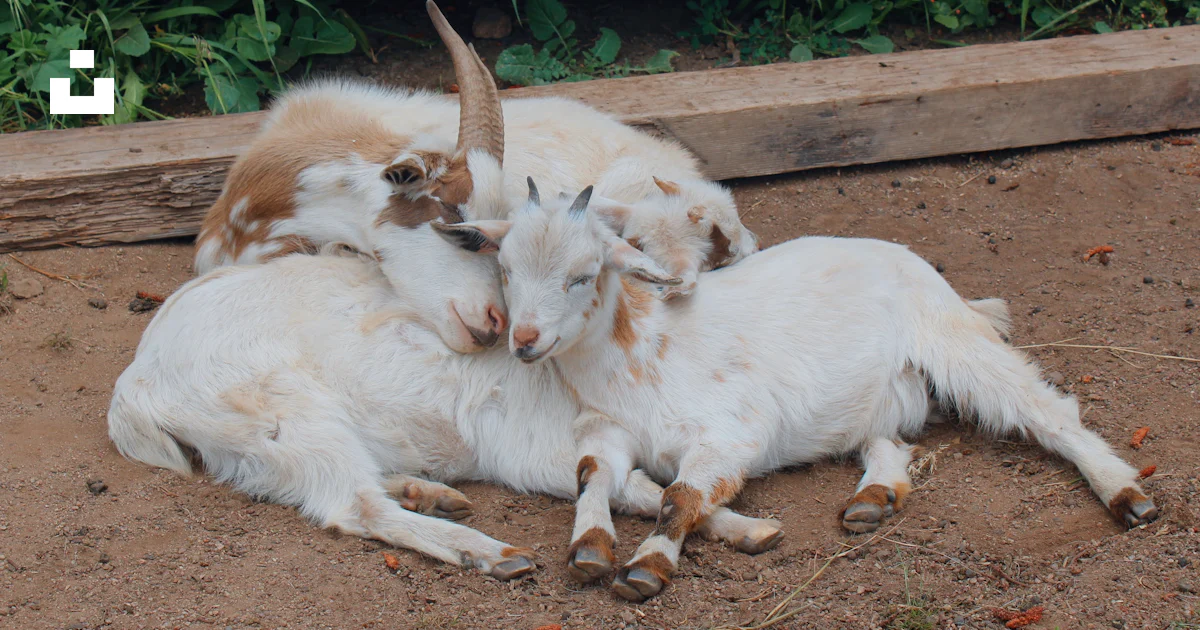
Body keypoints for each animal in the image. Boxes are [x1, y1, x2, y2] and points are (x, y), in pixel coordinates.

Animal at [108, 248, 782, 581]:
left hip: (258, 448)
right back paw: (488, 552)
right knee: (355, 506)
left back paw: (427, 492)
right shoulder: (537, 446)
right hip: (288, 416)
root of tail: (137, 380)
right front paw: (744, 526)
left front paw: (749, 529)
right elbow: (638, 486)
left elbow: (663, 488)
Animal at [443, 180, 1160, 602]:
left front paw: (648, 566)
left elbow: (682, 495)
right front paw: (591, 546)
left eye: (584, 274)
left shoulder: (733, 430)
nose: (524, 340)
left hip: (952, 339)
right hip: (876, 395)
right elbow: (593, 475)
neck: (639, 355)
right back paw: (873, 497)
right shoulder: (605, 427)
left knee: (1046, 410)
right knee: (887, 439)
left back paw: (1128, 495)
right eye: (505, 269)